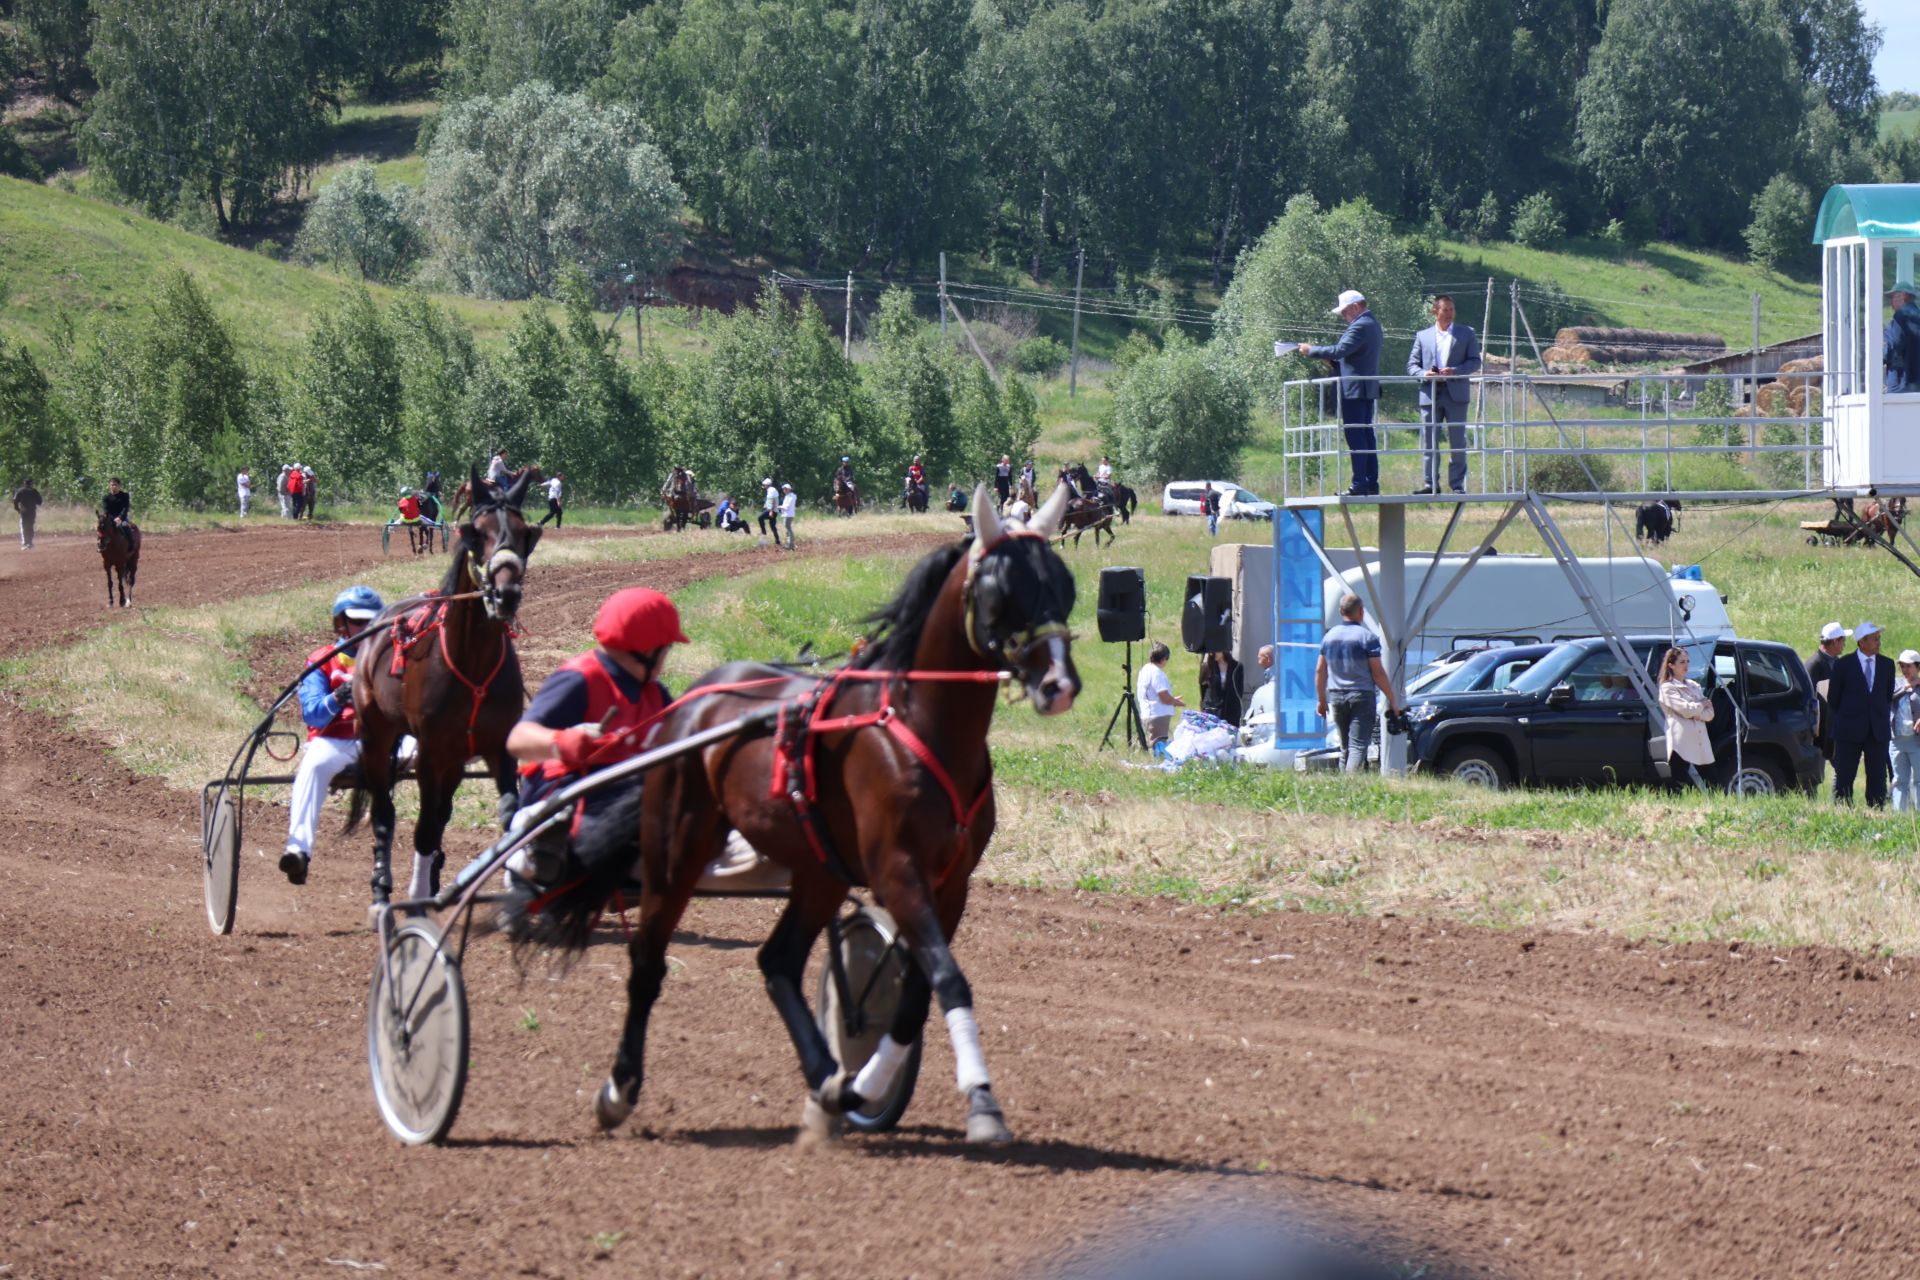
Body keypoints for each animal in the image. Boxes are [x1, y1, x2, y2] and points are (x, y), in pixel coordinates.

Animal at [506, 485, 1082, 1143]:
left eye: (1064, 583)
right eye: (999, 591)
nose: (1059, 683)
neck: (918, 724)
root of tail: (689, 702)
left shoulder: (951, 882)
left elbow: (917, 993)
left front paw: (863, 1082)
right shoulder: (897, 870)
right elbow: (948, 978)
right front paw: (982, 1101)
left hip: (818, 871)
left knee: (776, 960)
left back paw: (828, 1076)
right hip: (675, 850)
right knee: (648, 962)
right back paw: (619, 1088)